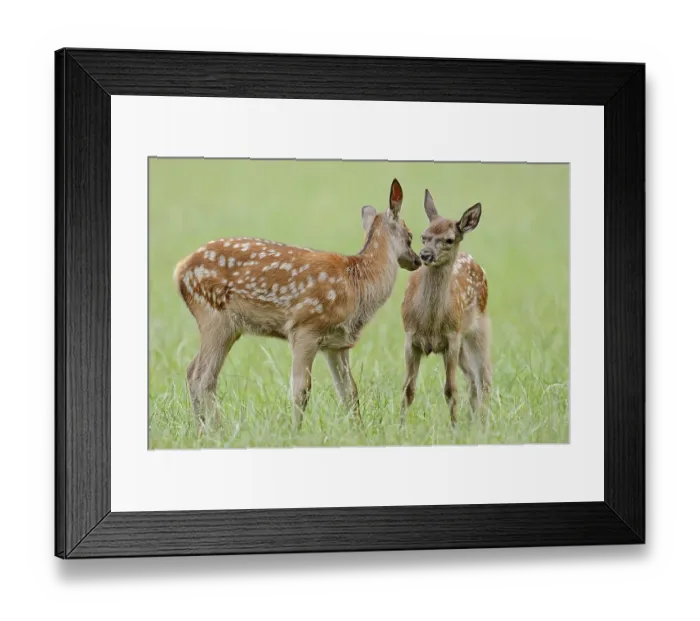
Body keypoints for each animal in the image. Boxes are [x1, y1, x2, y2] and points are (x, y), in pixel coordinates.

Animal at [173, 179, 421, 431]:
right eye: (410, 235)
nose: (417, 259)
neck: (357, 284)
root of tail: (180, 269)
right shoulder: (305, 327)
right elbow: (301, 389)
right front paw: (295, 432)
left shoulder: (337, 344)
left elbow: (349, 391)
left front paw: (358, 431)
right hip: (215, 317)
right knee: (202, 376)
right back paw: (217, 430)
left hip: (225, 325)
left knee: (192, 370)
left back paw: (202, 429)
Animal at [399, 189, 491, 427]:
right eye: (423, 236)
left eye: (449, 239)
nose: (425, 254)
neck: (430, 324)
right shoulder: (410, 338)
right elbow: (407, 390)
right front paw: (400, 427)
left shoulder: (451, 339)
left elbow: (450, 390)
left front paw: (454, 428)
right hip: (462, 343)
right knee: (472, 379)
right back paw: (473, 422)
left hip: (478, 329)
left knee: (484, 377)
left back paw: (483, 423)